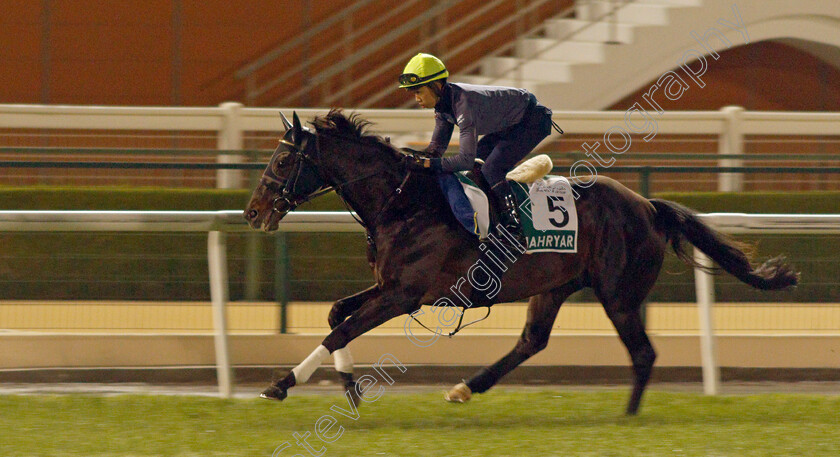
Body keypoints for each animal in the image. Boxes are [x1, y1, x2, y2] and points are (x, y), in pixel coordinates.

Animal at [244, 109, 800, 414]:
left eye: (283, 160)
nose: (252, 211)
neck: (404, 201)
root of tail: (647, 205)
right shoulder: (389, 287)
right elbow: (337, 314)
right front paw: (349, 386)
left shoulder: (404, 295)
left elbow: (342, 327)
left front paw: (280, 384)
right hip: (554, 286)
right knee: (532, 341)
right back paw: (465, 388)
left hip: (618, 293)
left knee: (642, 354)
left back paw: (627, 417)